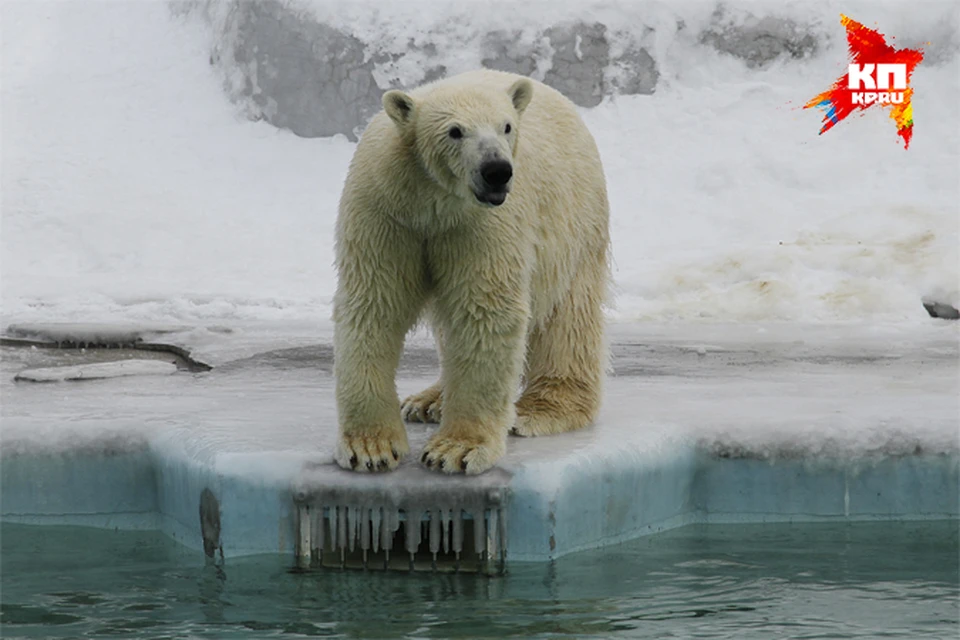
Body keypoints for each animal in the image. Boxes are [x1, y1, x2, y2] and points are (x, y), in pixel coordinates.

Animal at [334, 69, 612, 476]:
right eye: (455, 131)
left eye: (506, 126)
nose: (497, 171)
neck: (432, 201)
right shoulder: (386, 210)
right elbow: (375, 302)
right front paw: (371, 448)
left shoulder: (481, 225)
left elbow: (483, 311)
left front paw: (455, 450)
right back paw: (427, 401)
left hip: (574, 222)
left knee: (568, 319)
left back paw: (542, 409)